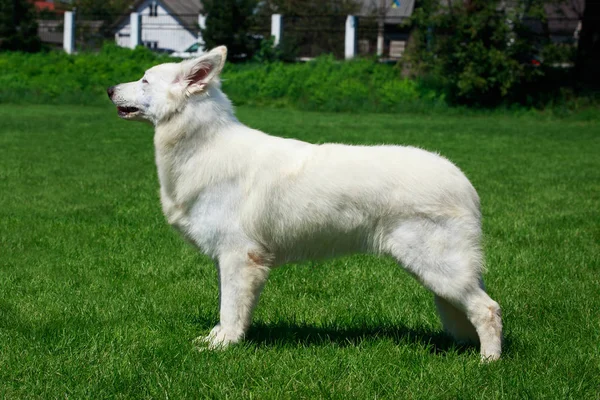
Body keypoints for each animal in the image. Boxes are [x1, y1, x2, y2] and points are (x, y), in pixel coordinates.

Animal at [108, 46, 502, 360]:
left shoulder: (238, 257)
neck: (202, 145)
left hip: (438, 267)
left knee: (489, 310)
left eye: (145, 80)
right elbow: (227, 308)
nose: (110, 89)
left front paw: (224, 346)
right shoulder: (230, 259)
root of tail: (464, 182)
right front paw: (216, 339)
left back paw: (488, 362)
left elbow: (230, 309)